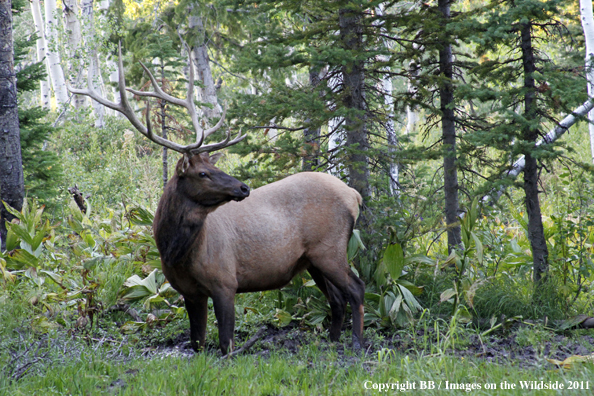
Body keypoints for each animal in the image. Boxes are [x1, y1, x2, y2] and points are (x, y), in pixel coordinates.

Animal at [70, 44, 366, 356]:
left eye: (213, 167)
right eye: (203, 172)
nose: (244, 188)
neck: (177, 252)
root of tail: (354, 195)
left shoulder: (225, 281)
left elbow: (225, 344)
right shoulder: (189, 291)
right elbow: (197, 342)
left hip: (329, 248)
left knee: (356, 288)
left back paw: (357, 343)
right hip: (311, 260)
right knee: (337, 298)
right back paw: (333, 342)